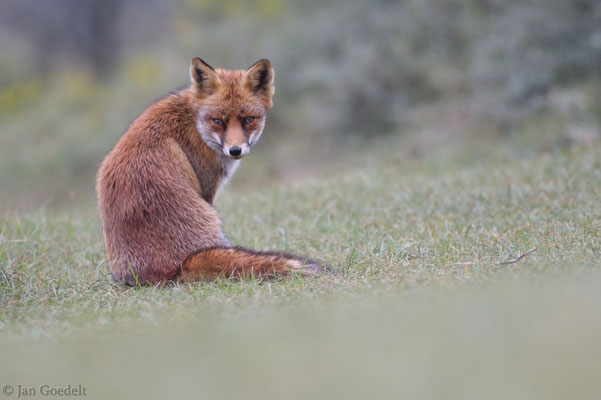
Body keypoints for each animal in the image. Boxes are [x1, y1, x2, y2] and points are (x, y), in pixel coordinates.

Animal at [95, 58, 324, 284]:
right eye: (218, 121)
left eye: (248, 119)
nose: (235, 150)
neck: (195, 123)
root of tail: (174, 269)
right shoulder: (207, 187)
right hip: (212, 218)